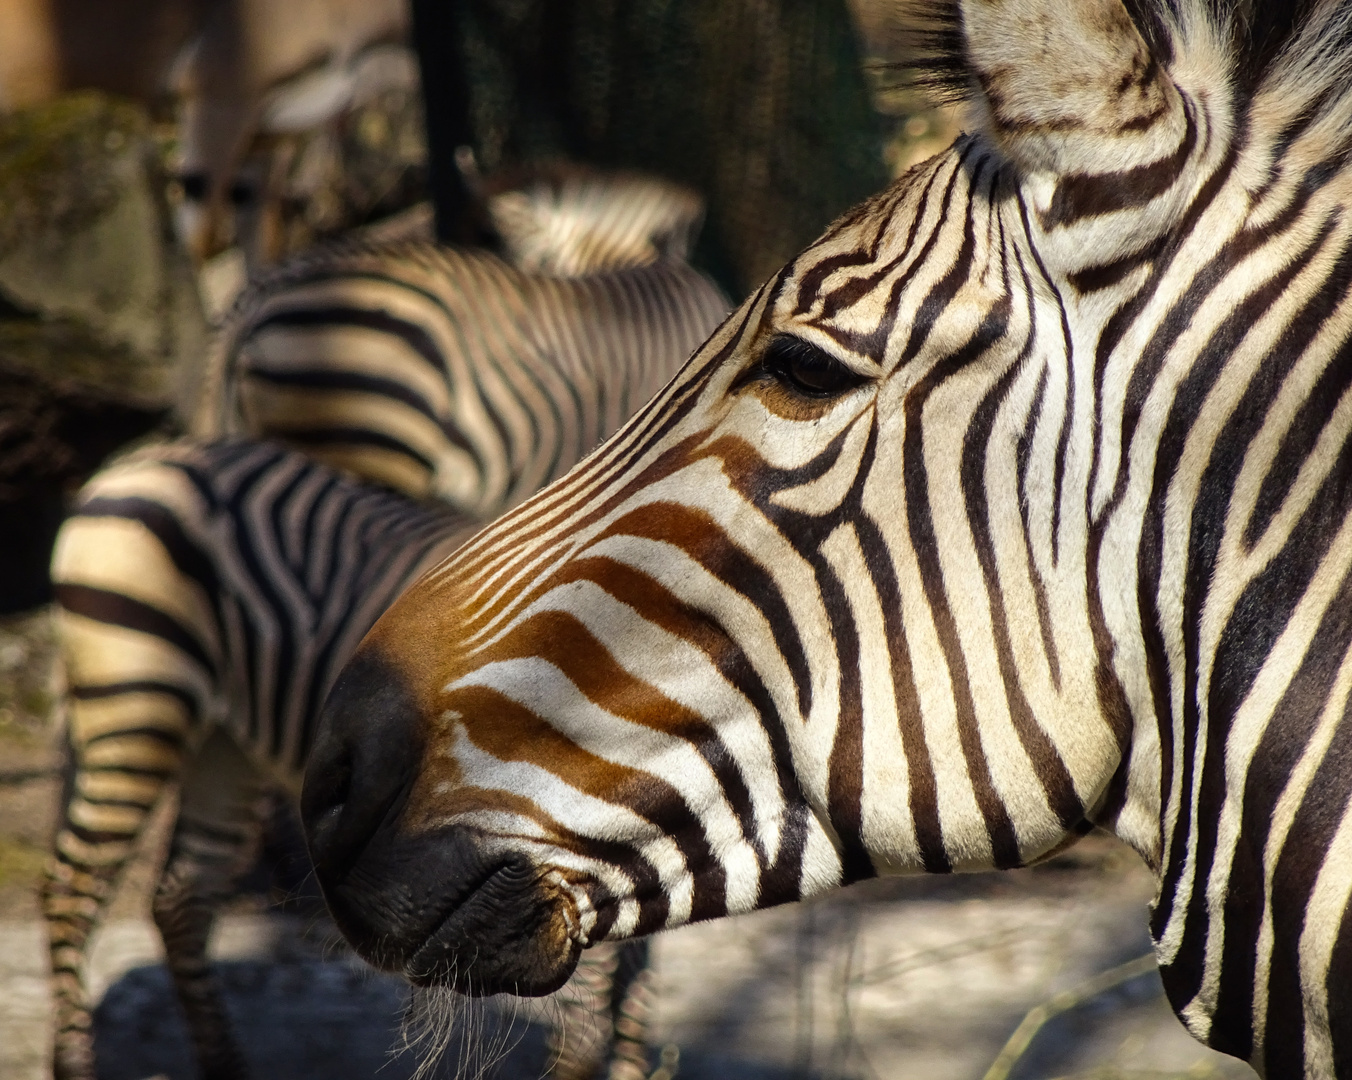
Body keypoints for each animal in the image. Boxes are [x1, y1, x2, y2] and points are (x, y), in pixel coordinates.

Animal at [42, 437, 654, 1080]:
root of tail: (143, 458)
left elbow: (633, 988)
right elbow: (598, 995)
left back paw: (225, 1064)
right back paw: (74, 1062)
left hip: (224, 747)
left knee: (180, 897)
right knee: (72, 888)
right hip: (135, 698)